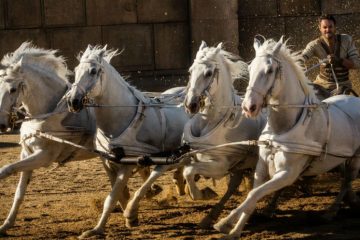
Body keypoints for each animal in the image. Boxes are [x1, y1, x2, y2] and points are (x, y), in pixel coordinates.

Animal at [67, 45, 190, 238]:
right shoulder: (108, 162)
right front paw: (99, 227)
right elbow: (118, 195)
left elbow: (112, 198)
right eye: (76, 70)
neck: (120, 117)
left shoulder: (127, 162)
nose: (73, 101)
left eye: (93, 71)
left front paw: (124, 218)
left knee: (166, 167)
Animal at [183, 40, 268, 227]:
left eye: (208, 73)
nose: (191, 104)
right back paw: (210, 217)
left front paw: (201, 194)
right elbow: (187, 169)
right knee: (235, 185)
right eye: (190, 70)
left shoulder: (220, 166)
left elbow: (189, 171)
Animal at [214, 36, 360, 237]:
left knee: (346, 181)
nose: (248, 107)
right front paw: (235, 230)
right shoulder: (261, 168)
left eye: (269, 70)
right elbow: (253, 196)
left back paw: (330, 212)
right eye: (250, 69)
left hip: (355, 158)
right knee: (345, 180)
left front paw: (224, 222)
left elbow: (254, 194)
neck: (282, 129)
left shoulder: (288, 174)